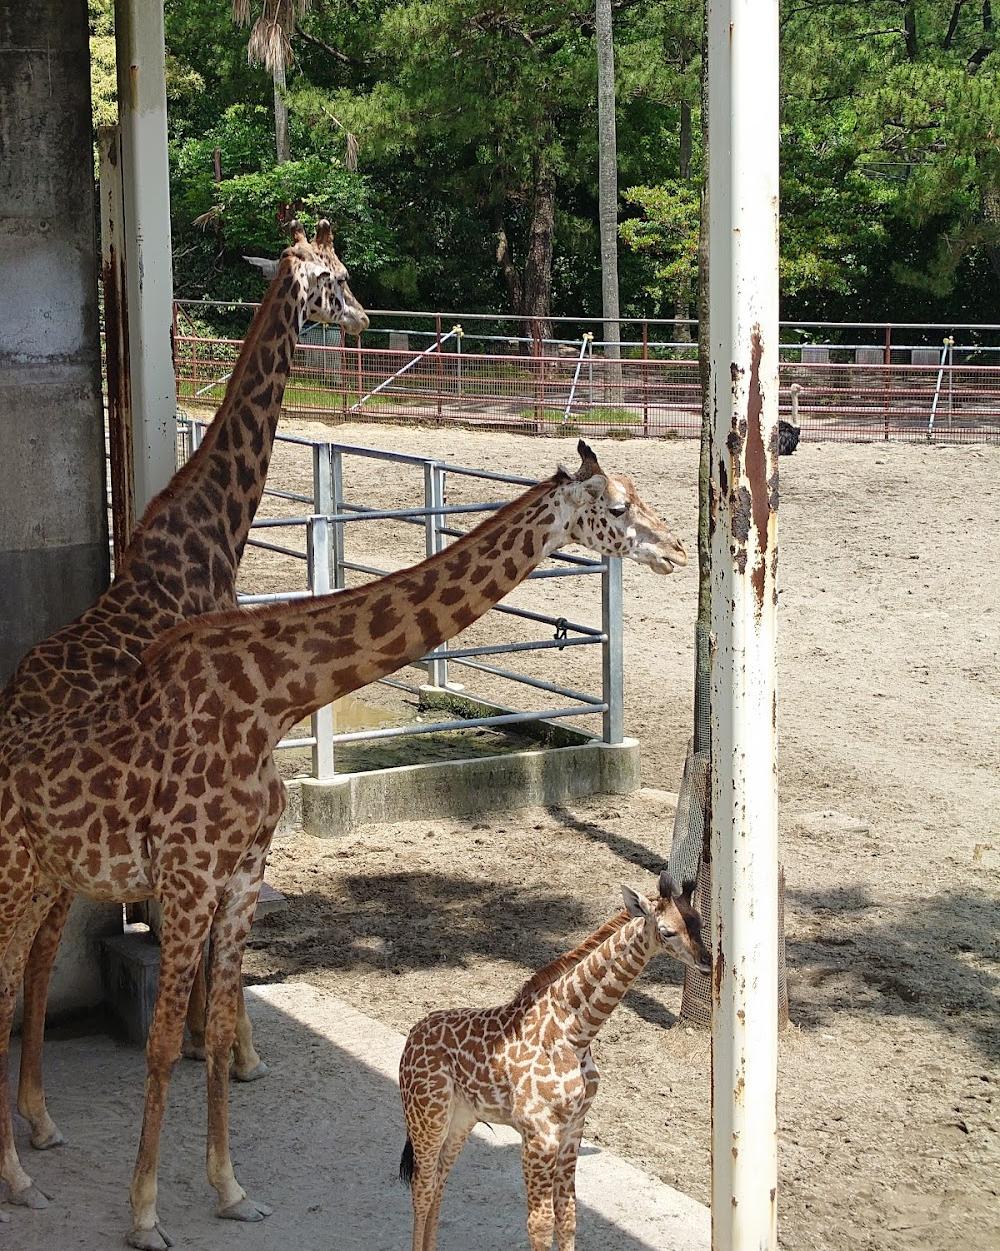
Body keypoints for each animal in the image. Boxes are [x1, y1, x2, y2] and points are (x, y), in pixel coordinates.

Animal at [0, 220, 367, 1155]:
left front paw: (211, 1039)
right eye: (336, 276)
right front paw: (233, 1048)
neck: (220, 532)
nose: (362, 318)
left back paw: (35, 1114)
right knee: (39, 946)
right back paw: (38, 1115)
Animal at [397, 870, 710, 1251]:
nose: (708, 963)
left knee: (441, 1179)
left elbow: (569, 1216)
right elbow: (540, 1223)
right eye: (667, 931)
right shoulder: (539, 1133)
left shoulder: (573, 1128)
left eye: (698, 923)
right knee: (422, 1185)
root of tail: (412, 1037)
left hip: (461, 1117)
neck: (575, 1032)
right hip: (427, 1115)